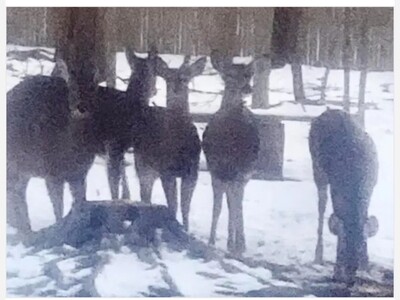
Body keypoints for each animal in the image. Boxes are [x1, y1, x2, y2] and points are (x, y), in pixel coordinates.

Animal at [124, 50, 206, 231]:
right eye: (167, 77)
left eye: (185, 76)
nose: (177, 85)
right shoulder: (166, 170)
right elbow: (173, 205)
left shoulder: (192, 172)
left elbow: (185, 207)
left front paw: (186, 229)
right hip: (144, 165)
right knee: (144, 195)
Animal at [202, 50, 260, 254]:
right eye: (229, 76)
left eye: (248, 75)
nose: (247, 89)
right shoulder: (214, 167)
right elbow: (219, 205)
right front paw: (212, 240)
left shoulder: (239, 170)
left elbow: (233, 203)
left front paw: (235, 243)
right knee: (232, 199)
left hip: (243, 171)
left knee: (236, 200)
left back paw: (237, 242)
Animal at [310, 109, 380, 284]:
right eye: (343, 249)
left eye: (362, 246)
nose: (350, 276)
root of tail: (329, 110)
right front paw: (336, 271)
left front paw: (365, 268)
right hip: (317, 169)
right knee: (321, 207)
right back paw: (318, 256)